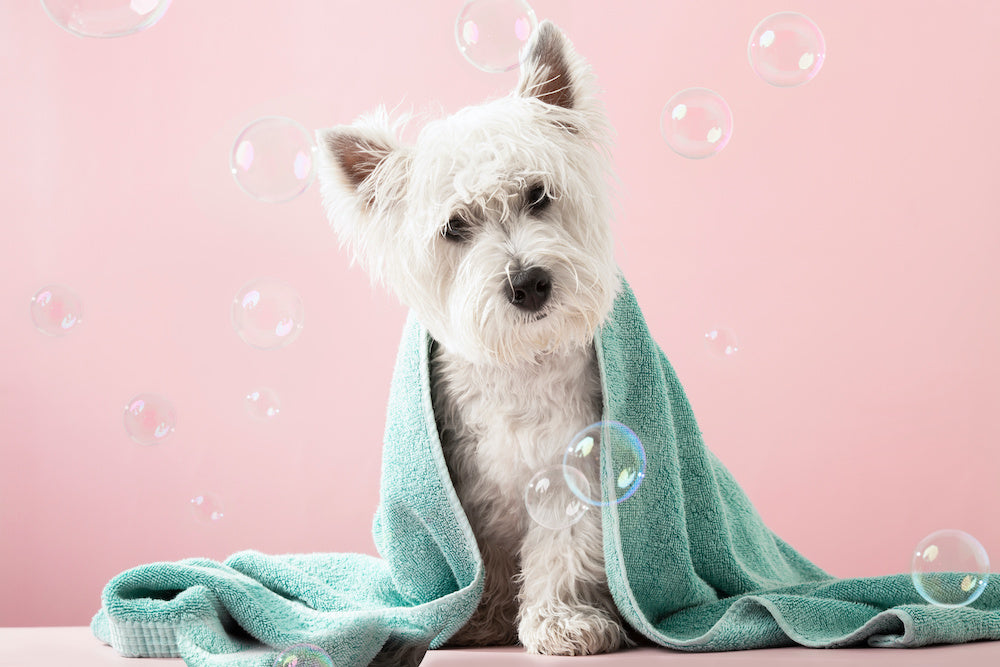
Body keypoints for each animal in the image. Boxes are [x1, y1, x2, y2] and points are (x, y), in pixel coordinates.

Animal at [316, 20, 628, 656]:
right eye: (454, 227)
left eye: (538, 195)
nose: (529, 284)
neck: (520, 364)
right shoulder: (464, 486)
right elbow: (477, 553)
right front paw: (476, 617)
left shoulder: (574, 463)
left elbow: (563, 548)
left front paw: (562, 620)